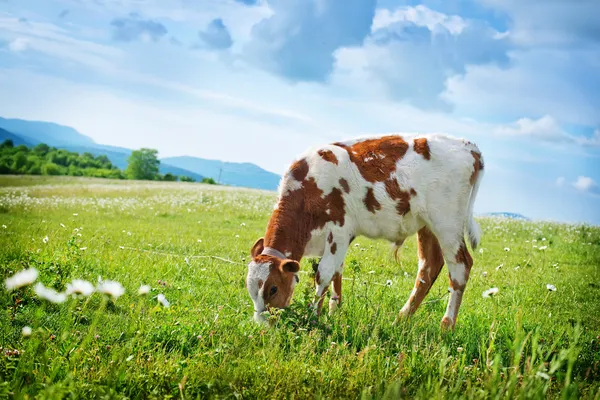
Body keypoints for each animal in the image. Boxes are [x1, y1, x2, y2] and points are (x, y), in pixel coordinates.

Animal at [246, 133, 486, 330]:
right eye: (250, 289)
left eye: (273, 289)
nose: (262, 325)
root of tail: (469, 146)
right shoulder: (340, 239)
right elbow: (337, 271)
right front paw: (334, 311)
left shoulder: (339, 230)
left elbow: (323, 274)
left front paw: (312, 317)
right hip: (427, 225)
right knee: (429, 266)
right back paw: (401, 319)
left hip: (447, 223)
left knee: (460, 267)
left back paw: (446, 326)